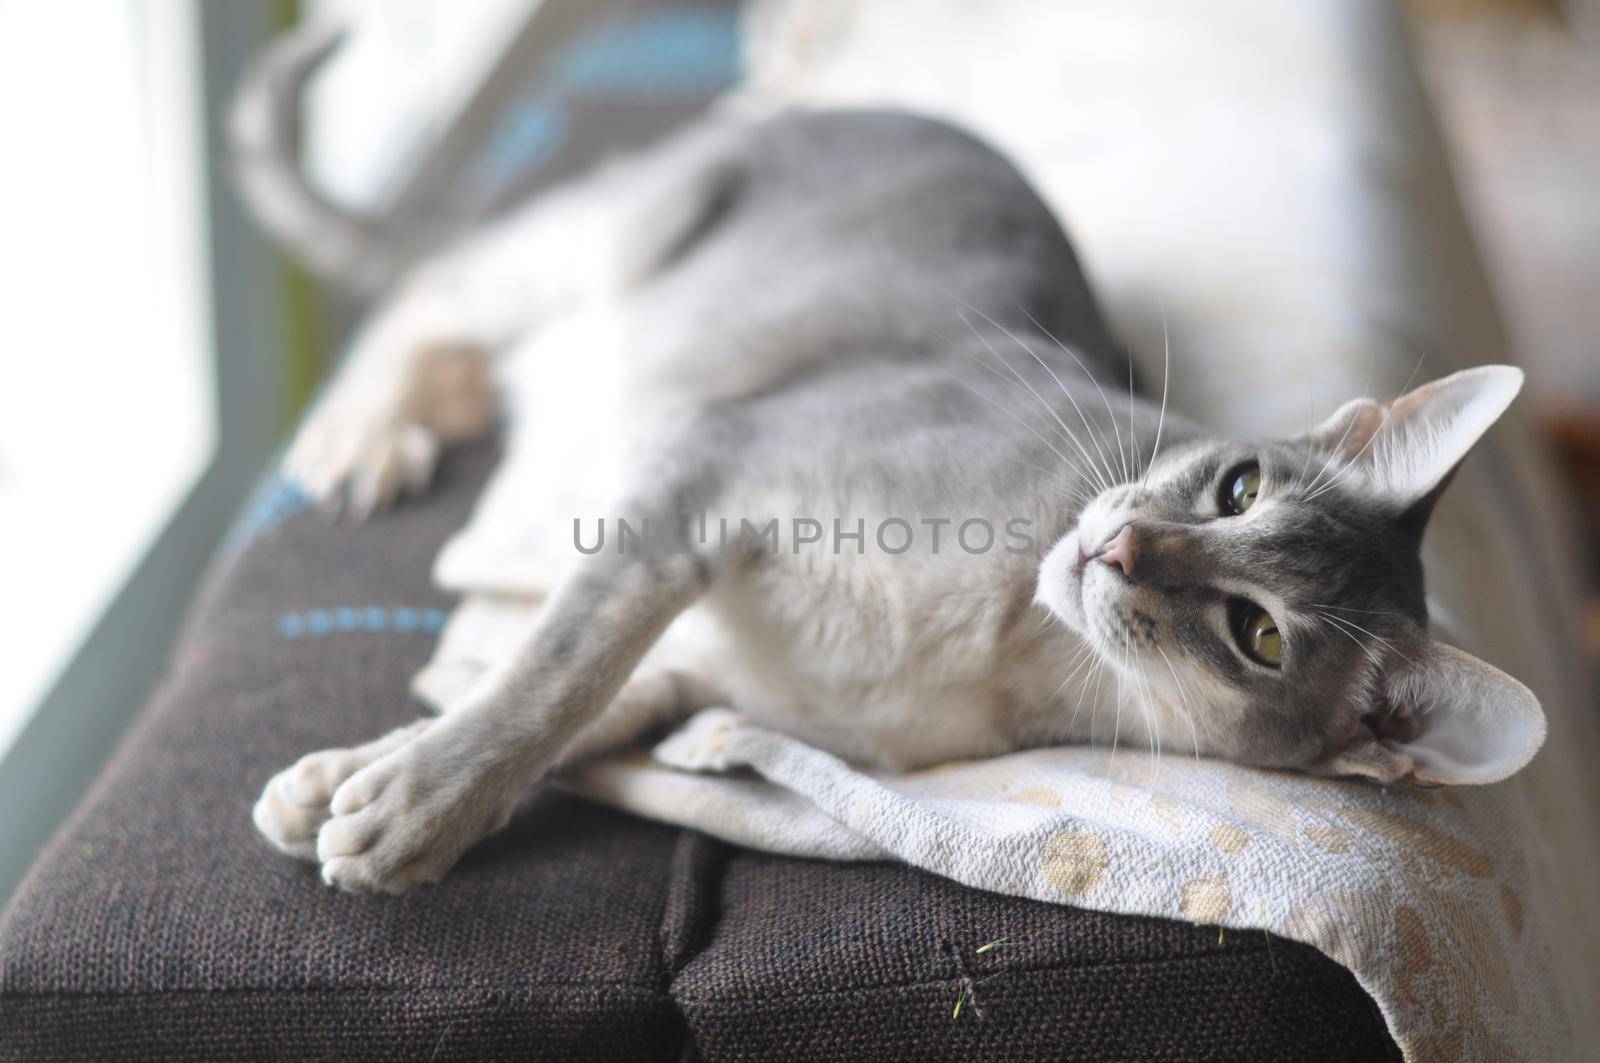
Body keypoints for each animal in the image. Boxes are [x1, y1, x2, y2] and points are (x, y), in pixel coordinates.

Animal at [236, 39, 1536, 896]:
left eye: (1257, 635)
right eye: (1237, 487)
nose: (1118, 546)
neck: (1002, 637)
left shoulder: (715, 667)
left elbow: (589, 705)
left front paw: (365, 784)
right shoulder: (707, 469)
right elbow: (555, 672)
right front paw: (408, 806)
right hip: (609, 249)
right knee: (432, 289)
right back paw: (362, 438)